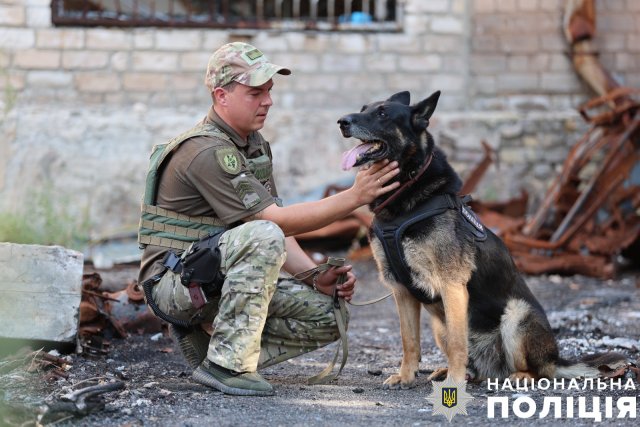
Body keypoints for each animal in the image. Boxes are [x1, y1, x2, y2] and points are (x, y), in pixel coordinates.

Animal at [338, 91, 628, 392]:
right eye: (363, 108)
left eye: (382, 113)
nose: (342, 122)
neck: (406, 196)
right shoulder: (401, 290)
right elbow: (409, 342)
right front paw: (406, 376)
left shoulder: (451, 285)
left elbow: (458, 343)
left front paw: (453, 383)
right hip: (439, 325)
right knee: (475, 365)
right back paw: (457, 372)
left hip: (516, 314)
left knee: (540, 370)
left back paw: (517, 375)